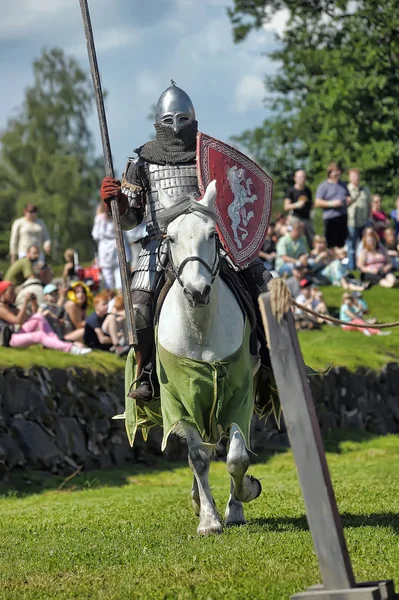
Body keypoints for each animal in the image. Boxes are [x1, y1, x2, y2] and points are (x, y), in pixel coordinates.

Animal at [156, 180, 262, 536]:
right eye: (171, 238)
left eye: (213, 235)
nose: (197, 291)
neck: (200, 327)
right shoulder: (180, 395)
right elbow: (198, 457)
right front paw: (208, 520)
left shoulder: (239, 389)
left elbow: (237, 457)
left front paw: (241, 500)